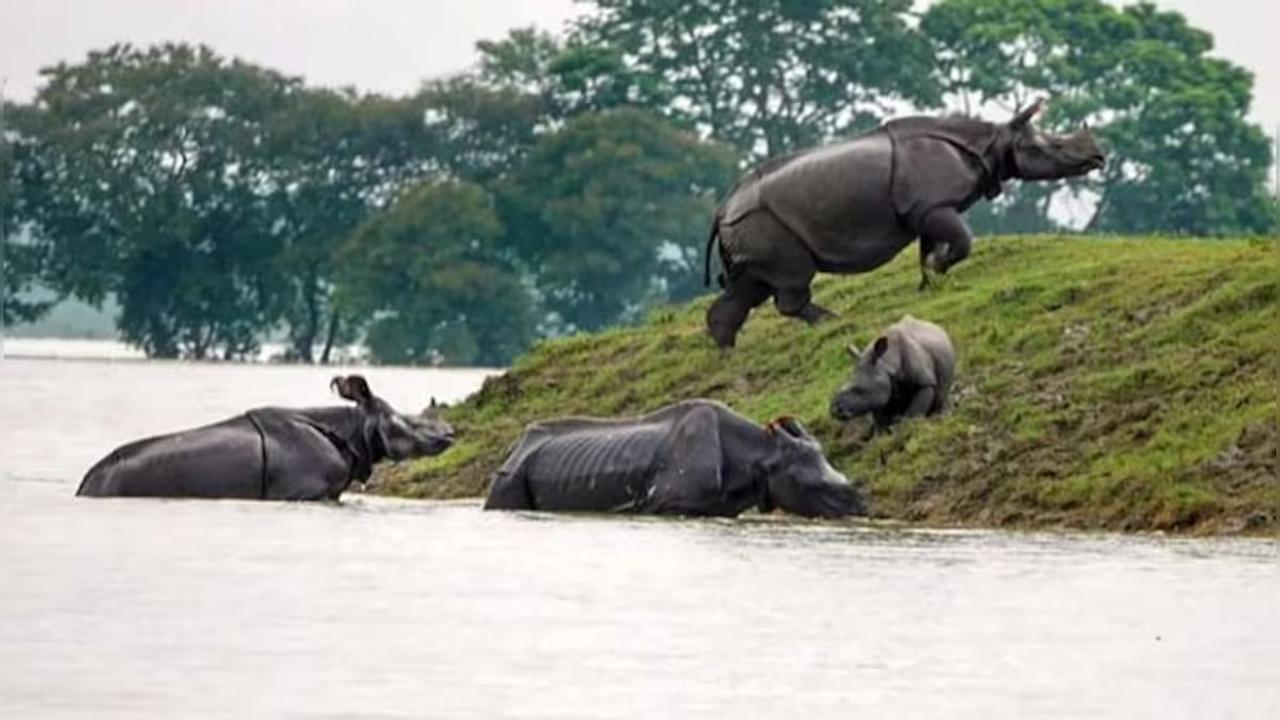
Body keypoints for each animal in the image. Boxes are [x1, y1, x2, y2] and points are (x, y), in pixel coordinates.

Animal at [483, 397, 865, 515]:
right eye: (815, 487)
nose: (862, 507)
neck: (760, 454)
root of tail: (515, 447)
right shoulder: (668, 504)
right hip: (512, 473)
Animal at [706, 101, 1105, 348]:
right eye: (1049, 147)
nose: (1099, 158)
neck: (993, 140)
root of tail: (721, 209)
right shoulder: (932, 206)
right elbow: (963, 242)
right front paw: (939, 271)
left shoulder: (926, 210)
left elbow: (930, 250)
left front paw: (930, 283)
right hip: (761, 222)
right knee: (790, 277)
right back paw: (833, 322)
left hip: (748, 226)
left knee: (751, 284)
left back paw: (725, 350)